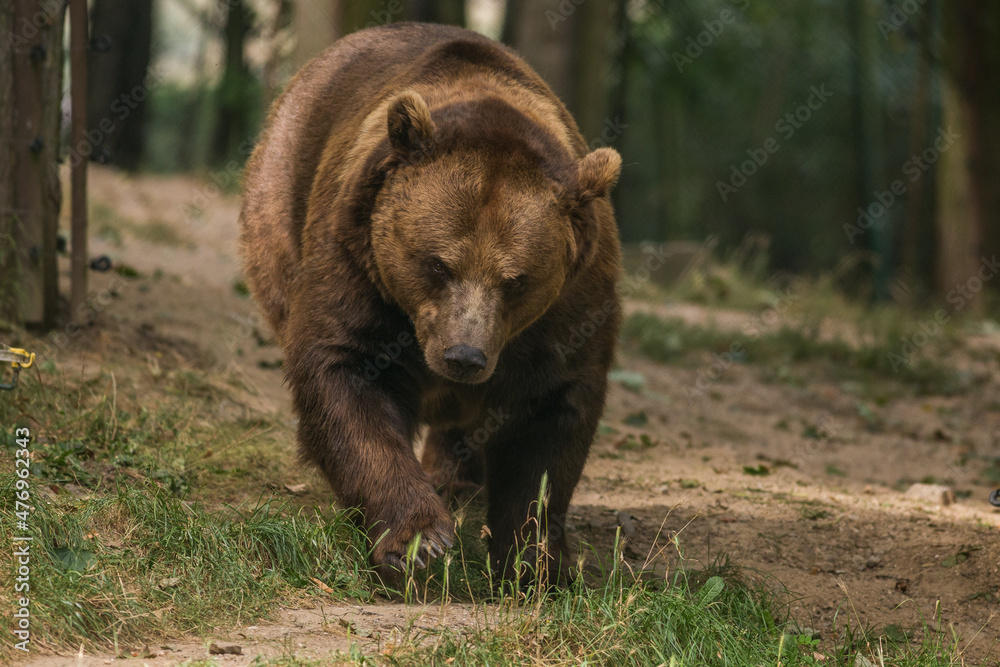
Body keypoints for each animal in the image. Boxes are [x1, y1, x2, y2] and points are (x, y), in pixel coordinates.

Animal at [239, 22, 622, 584]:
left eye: (516, 279)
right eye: (438, 263)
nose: (464, 356)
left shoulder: (569, 309)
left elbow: (550, 420)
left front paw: (535, 559)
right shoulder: (357, 263)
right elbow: (345, 373)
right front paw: (419, 541)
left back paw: (456, 479)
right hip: (279, 206)